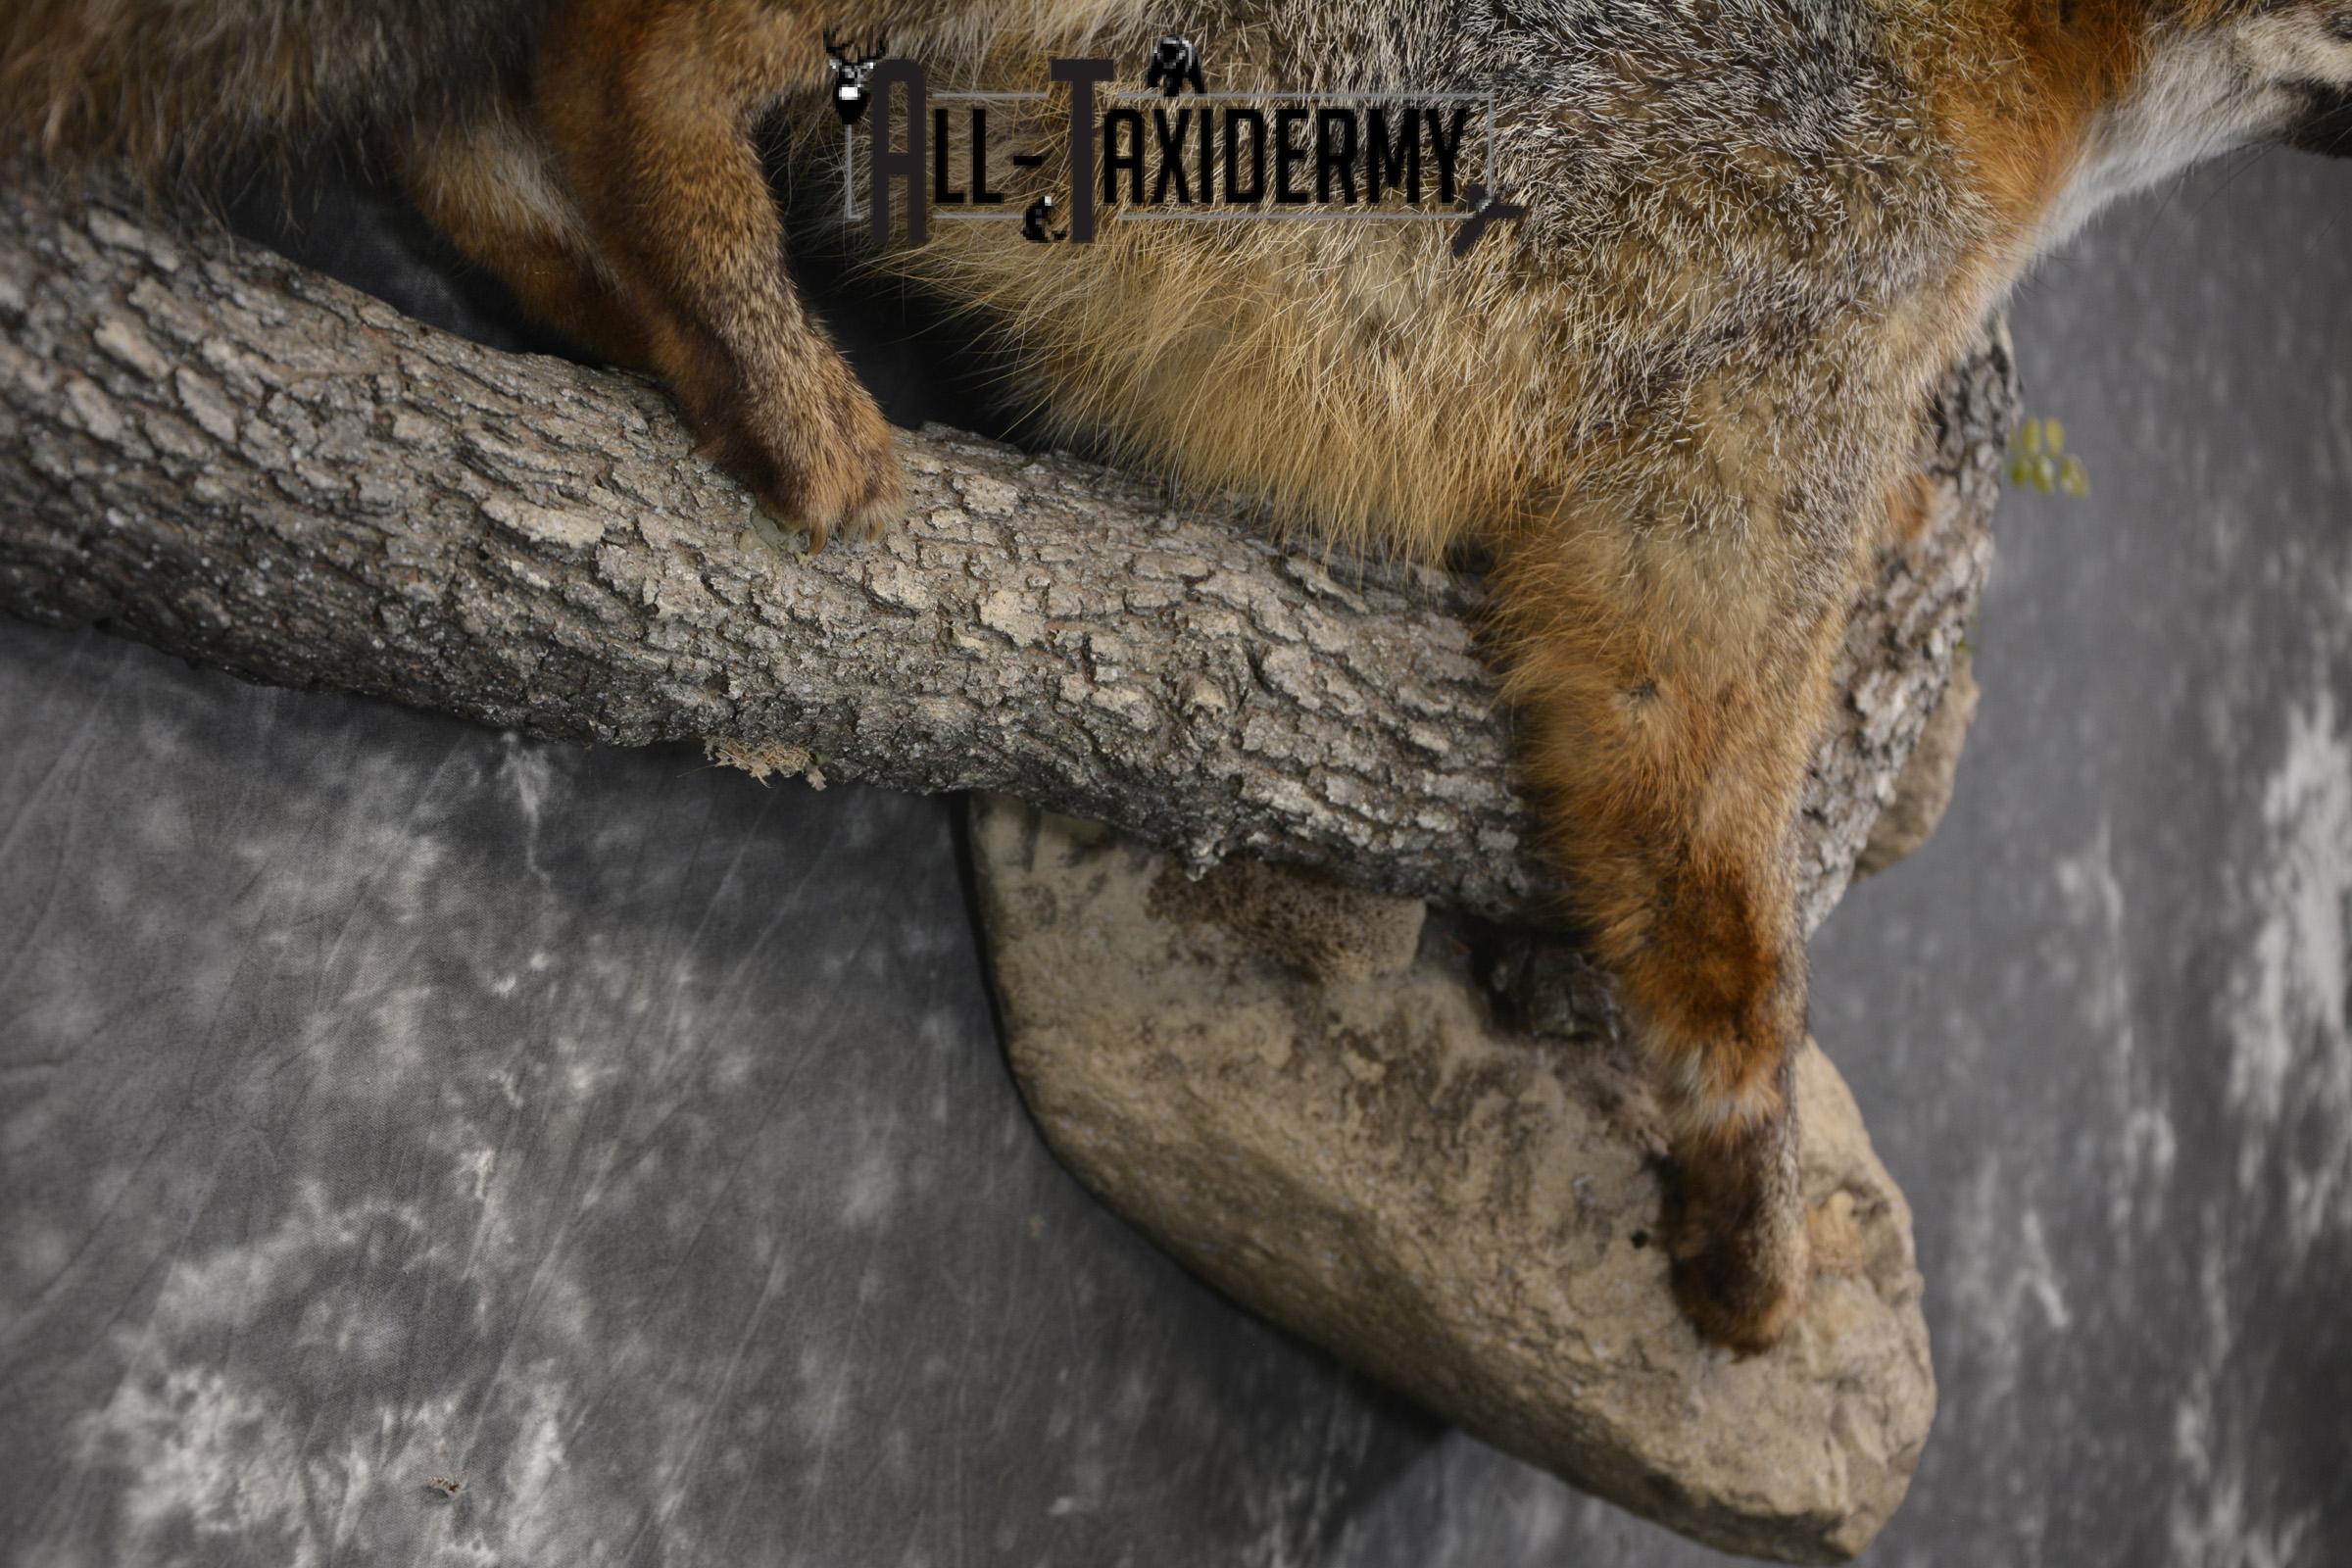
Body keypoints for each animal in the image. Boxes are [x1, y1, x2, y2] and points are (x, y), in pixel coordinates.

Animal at [5, 0, 2348, 1354]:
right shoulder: (1759, 436)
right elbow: (1728, 921)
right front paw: (1744, 1181)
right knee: (616, 61)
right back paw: (750, 339)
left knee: (457, 130)